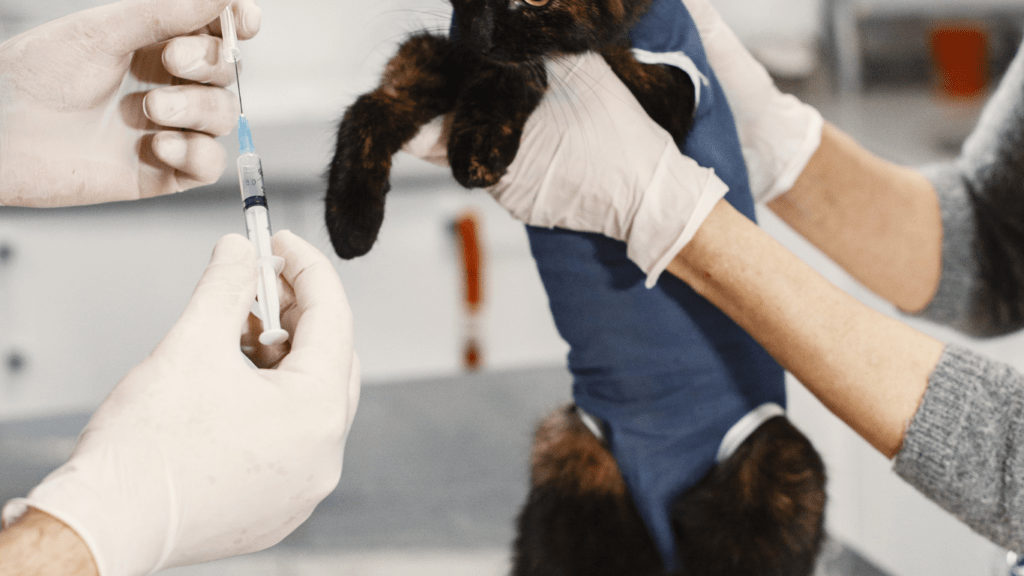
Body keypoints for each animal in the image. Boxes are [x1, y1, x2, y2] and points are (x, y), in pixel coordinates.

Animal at [325, 0, 696, 258]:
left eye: (536, 1)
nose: (481, 37)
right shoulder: (448, 52)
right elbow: (376, 100)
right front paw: (352, 219)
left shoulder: (667, 90)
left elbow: (520, 66)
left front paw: (479, 145)